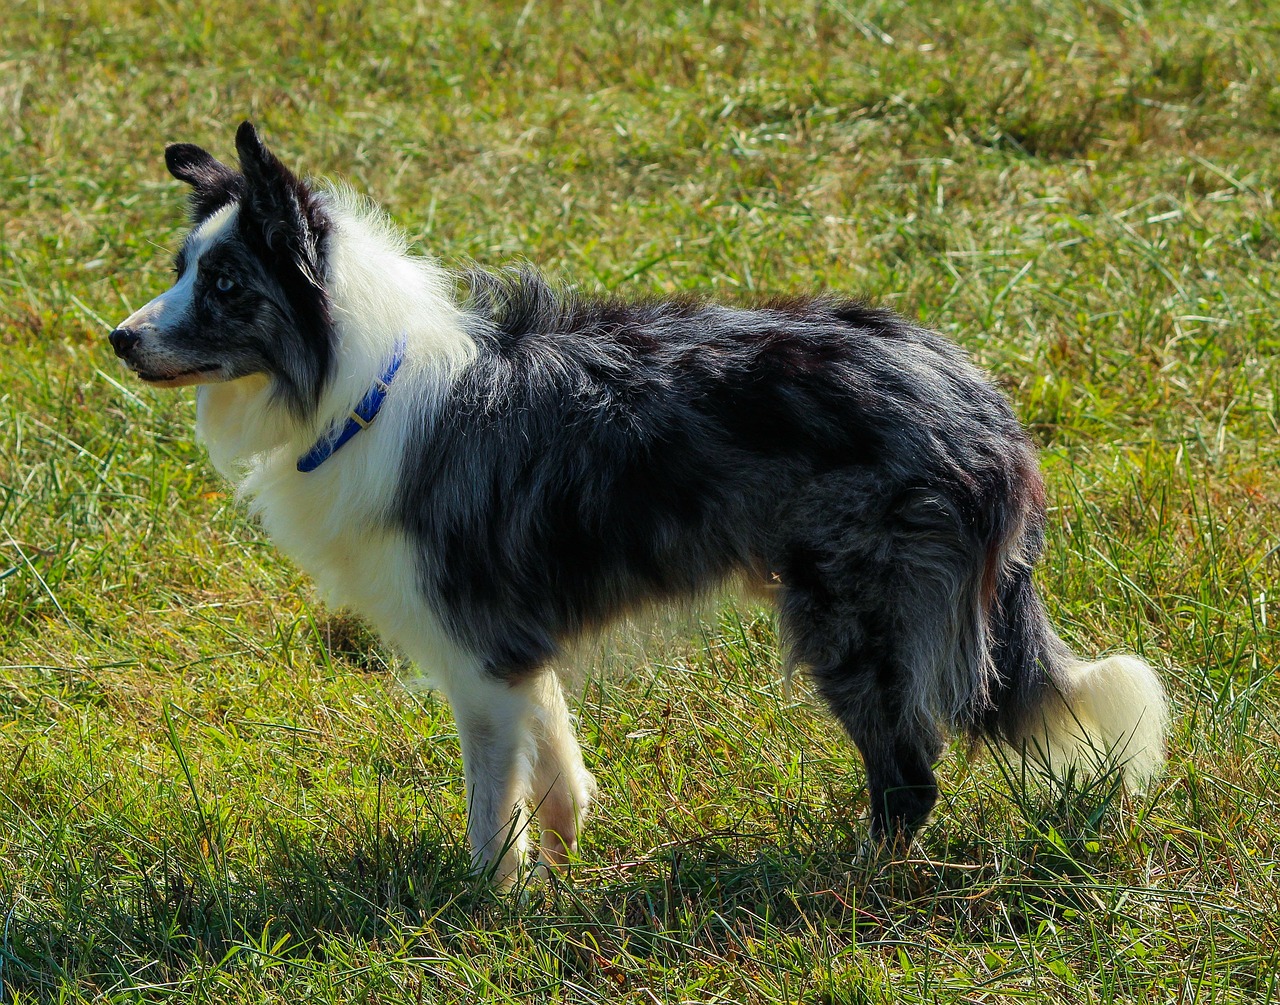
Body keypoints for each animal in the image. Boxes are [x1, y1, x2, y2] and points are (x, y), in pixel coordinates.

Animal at [112, 121, 1172, 880]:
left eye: (227, 282)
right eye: (181, 270)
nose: (118, 338)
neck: (356, 379)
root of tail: (980, 401)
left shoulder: (474, 647)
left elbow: (490, 804)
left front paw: (488, 903)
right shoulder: (513, 647)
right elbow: (556, 754)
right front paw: (561, 859)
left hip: (855, 621)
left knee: (910, 777)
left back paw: (850, 877)